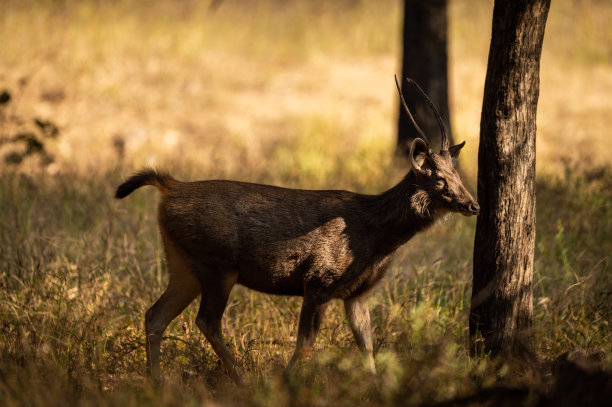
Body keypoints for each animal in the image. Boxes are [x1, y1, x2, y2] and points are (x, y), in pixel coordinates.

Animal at [115, 77, 478, 386]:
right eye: (440, 180)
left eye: (458, 176)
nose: (473, 205)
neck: (377, 239)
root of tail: (170, 188)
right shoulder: (319, 279)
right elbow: (306, 341)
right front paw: (285, 382)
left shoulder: (357, 293)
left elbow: (367, 345)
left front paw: (377, 387)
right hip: (217, 264)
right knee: (206, 320)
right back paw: (242, 381)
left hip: (183, 263)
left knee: (155, 315)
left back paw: (157, 381)